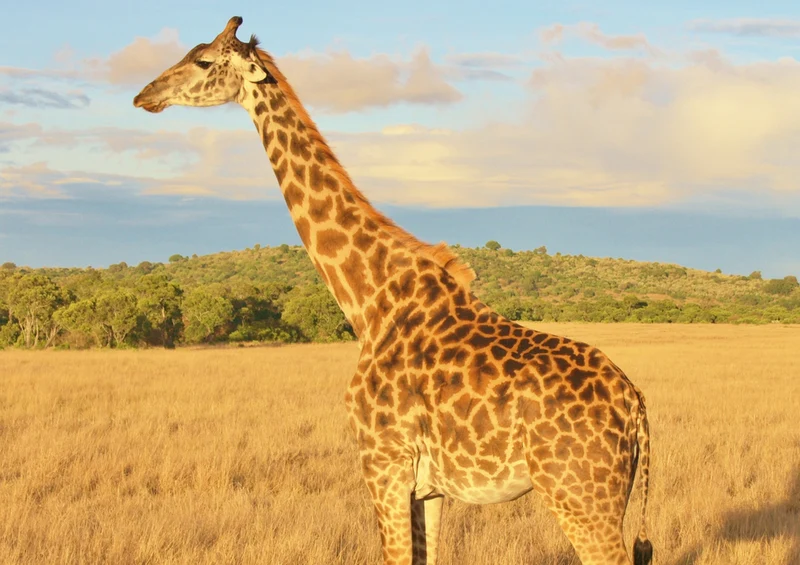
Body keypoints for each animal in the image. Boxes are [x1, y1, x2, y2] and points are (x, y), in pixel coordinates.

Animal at [134, 17, 654, 565]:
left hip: (580, 497)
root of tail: (636, 404)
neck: (370, 302)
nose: (144, 95)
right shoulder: (429, 487)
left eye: (203, 60)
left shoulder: (382, 462)